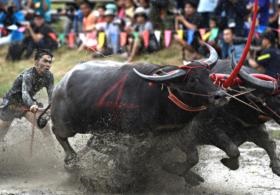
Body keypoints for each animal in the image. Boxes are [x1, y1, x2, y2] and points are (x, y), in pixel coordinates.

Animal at [49, 44, 226, 165]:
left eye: (208, 75)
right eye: (192, 80)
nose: (221, 95)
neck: (162, 96)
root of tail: (60, 84)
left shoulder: (175, 132)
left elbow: (193, 157)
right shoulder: (135, 136)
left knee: (93, 142)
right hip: (68, 124)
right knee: (58, 133)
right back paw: (72, 158)